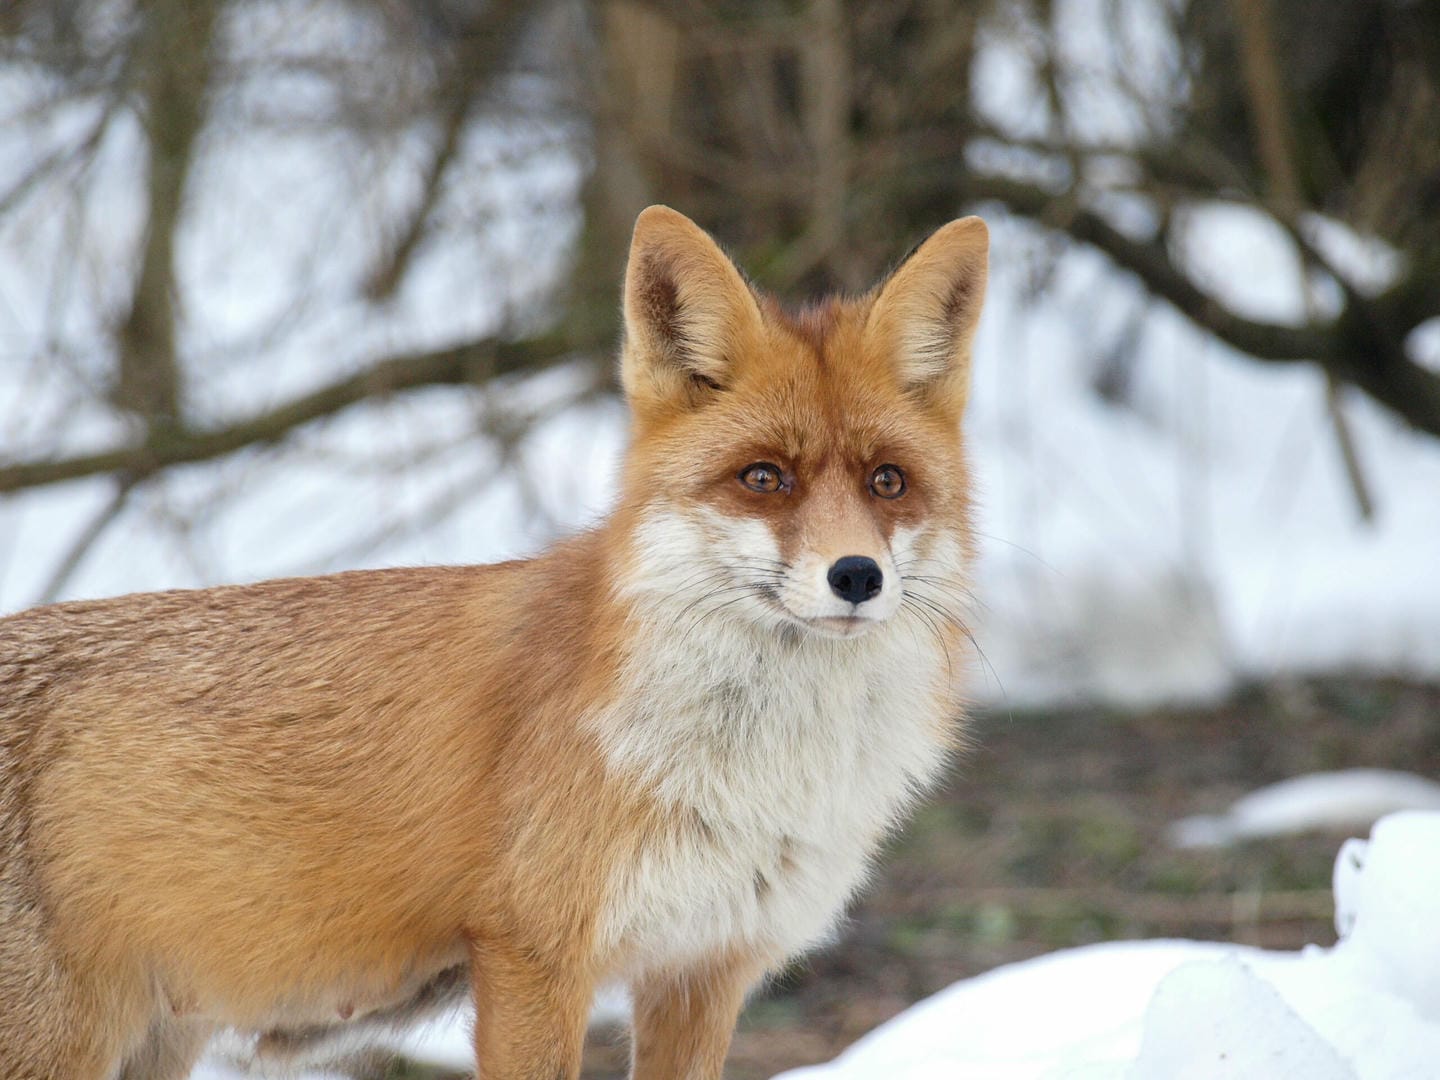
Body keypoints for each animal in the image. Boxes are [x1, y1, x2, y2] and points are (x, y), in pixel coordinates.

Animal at [0, 205, 987, 1079]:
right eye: (765, 478)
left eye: (888, 481)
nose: (856, 576)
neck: (755, 773)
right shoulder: (533, 957)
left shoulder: (703, 967)